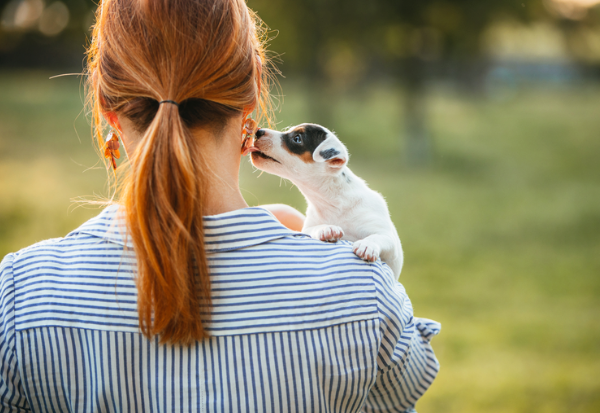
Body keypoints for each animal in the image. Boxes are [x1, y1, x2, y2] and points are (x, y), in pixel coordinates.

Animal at [243, 122, 404, 276]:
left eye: (297, 138)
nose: (258, 131)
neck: (334, 203)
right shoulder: (308, 228)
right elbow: (315, 229)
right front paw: (327, 229)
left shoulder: (389, 241)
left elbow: (377, 237)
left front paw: (367, 245)